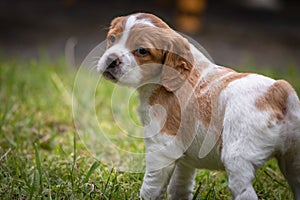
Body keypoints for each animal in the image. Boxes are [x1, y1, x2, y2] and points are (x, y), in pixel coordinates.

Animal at [98, 12, 300, 200]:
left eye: (141, 51)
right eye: (112, 38)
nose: (111, 59)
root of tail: (278, 91)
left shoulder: (161, 148)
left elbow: (151, 187)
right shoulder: (184, 158)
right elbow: (180, 186)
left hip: (238, 160)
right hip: (294, 160)